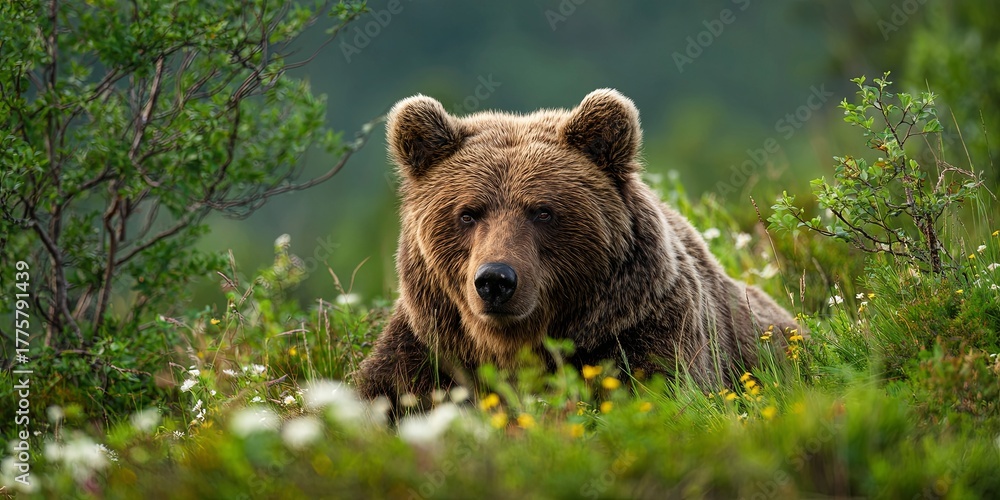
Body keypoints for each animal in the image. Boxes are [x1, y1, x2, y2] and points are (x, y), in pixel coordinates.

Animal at [354, 89, 798, 406]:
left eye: (542, 211)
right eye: (468, 213)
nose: (496, 280)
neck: (512, 345)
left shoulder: (643, 328)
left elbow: (660, 389)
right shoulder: (431, 348)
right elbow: (384, 396)